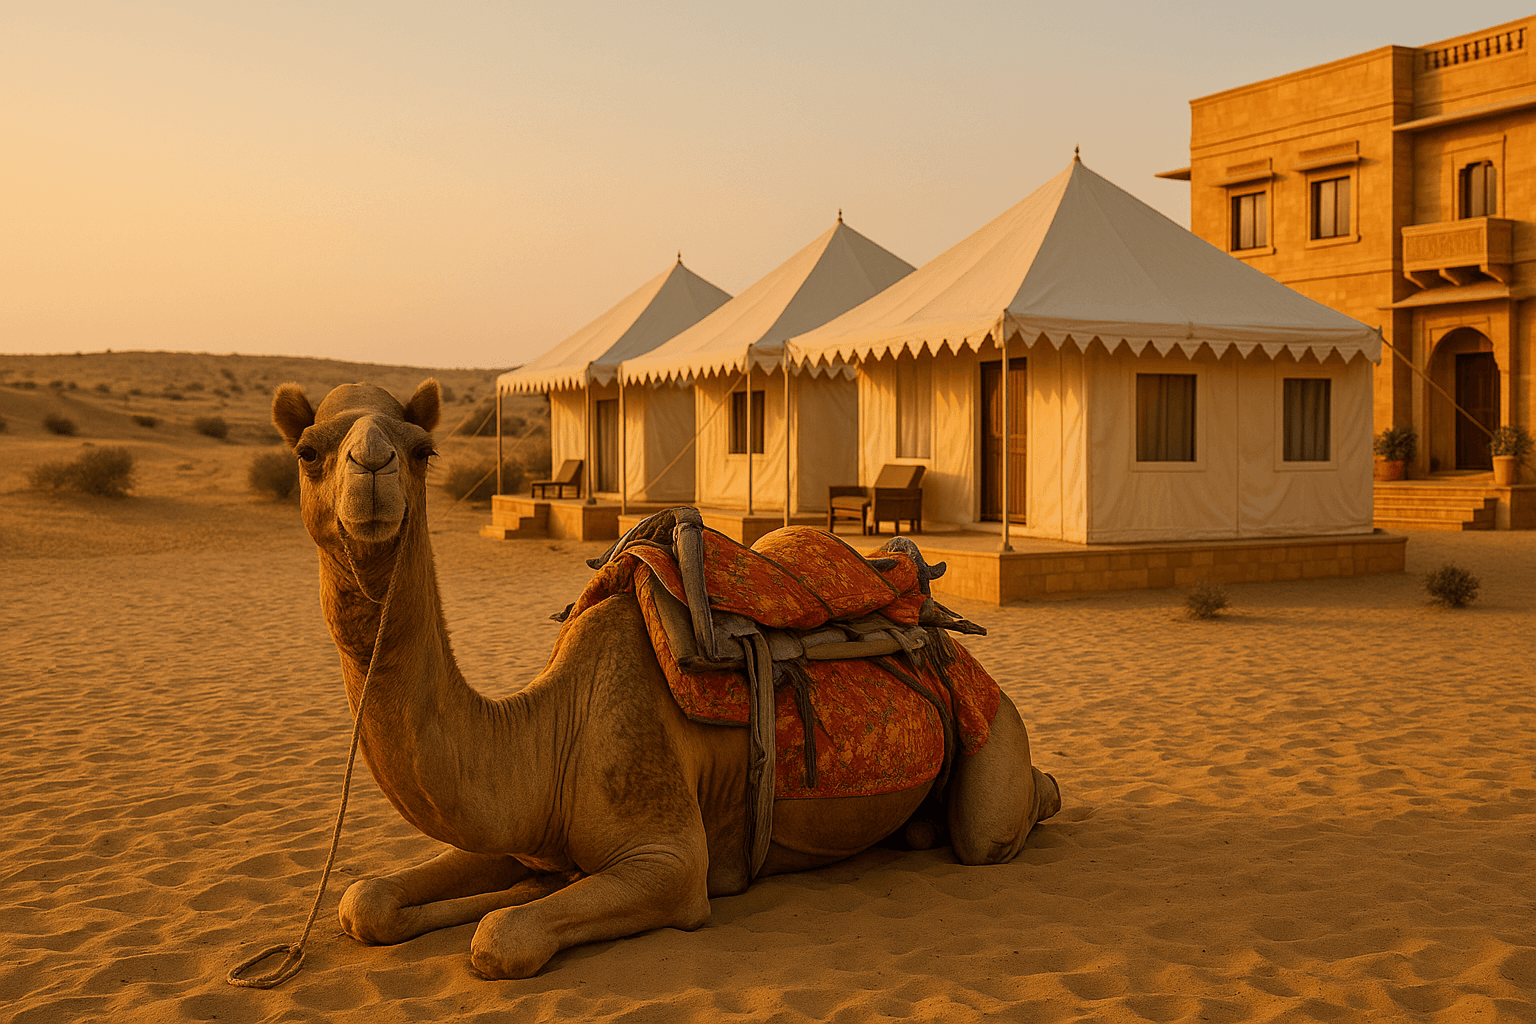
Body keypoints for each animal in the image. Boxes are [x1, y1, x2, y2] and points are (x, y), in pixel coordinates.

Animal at [270, 377, 1060, 980]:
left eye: (422, 449)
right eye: (307, 451)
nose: (373, 466)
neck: (548, 729)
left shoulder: (670, 861)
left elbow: (502, 936)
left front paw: (514, 904)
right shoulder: (517, 826)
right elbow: (365, 899)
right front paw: (513, 886)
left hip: (989, 730)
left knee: (997, 823)